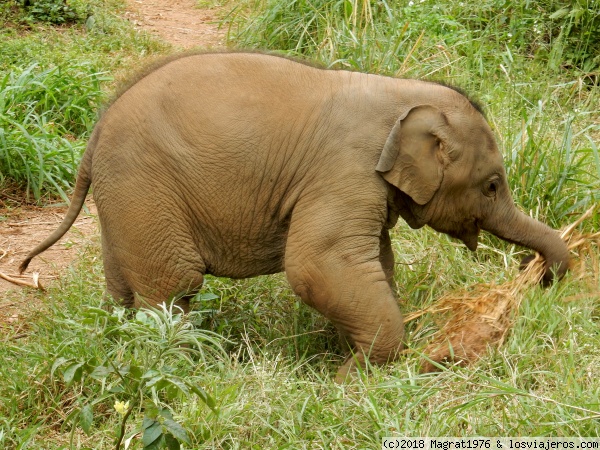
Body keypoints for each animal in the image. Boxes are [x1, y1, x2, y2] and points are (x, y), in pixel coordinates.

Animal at [21, 53, 568, 384]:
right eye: (492, 185)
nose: (539, 277)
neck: (403, 93)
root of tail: (95, 133)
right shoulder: (345, 171)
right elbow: (317, 265)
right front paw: (350, 381)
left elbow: (375, 263)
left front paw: (350, 364)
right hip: (145, 188)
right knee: (174, 284)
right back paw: (175, 366)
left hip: (124, 199)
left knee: (123, 285)